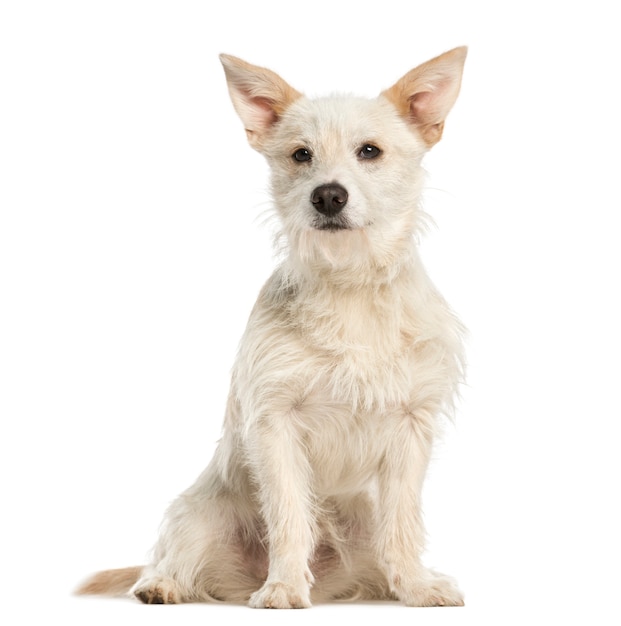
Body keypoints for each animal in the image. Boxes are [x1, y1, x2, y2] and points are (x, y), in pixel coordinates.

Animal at [76, 46, 464, 608]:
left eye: (369, 151)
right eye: (301, 155)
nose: (328, 196)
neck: (348, 285)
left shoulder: (411, 425)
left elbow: (403, 521)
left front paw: (415, 586)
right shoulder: (275, 423)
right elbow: (288, 515)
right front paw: (282, 586)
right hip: (199, 515)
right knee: (173, 557)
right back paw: (161, 585)